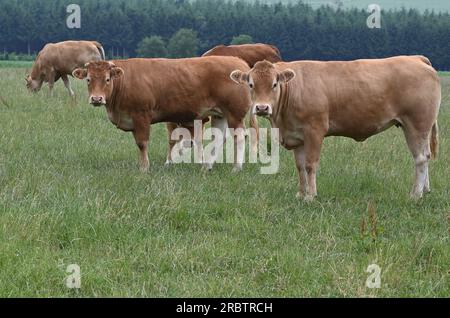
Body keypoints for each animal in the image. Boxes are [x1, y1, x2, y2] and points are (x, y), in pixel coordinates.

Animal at [72, 57, 251, 171]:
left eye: (107, 79)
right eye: (88, 79)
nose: (96, 98)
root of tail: (239, 61)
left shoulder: (141, 116)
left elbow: (142, 143)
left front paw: (144, 168)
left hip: (234, 114)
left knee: (239, 137)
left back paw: (236, 167)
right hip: (220, 114)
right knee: (219, 137)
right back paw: (207, 166)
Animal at [230, 54, 442, 199]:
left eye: (274, 84)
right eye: (250, 84)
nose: (262, 108)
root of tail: (416, 59)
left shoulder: (314, 131)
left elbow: (310, 164)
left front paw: (310, 196)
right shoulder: (297, 135)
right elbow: (300, 166)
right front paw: (301, 193)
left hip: (417, 124)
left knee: (420, 158)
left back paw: (415, 194)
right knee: (425, 155)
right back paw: (425, 190)